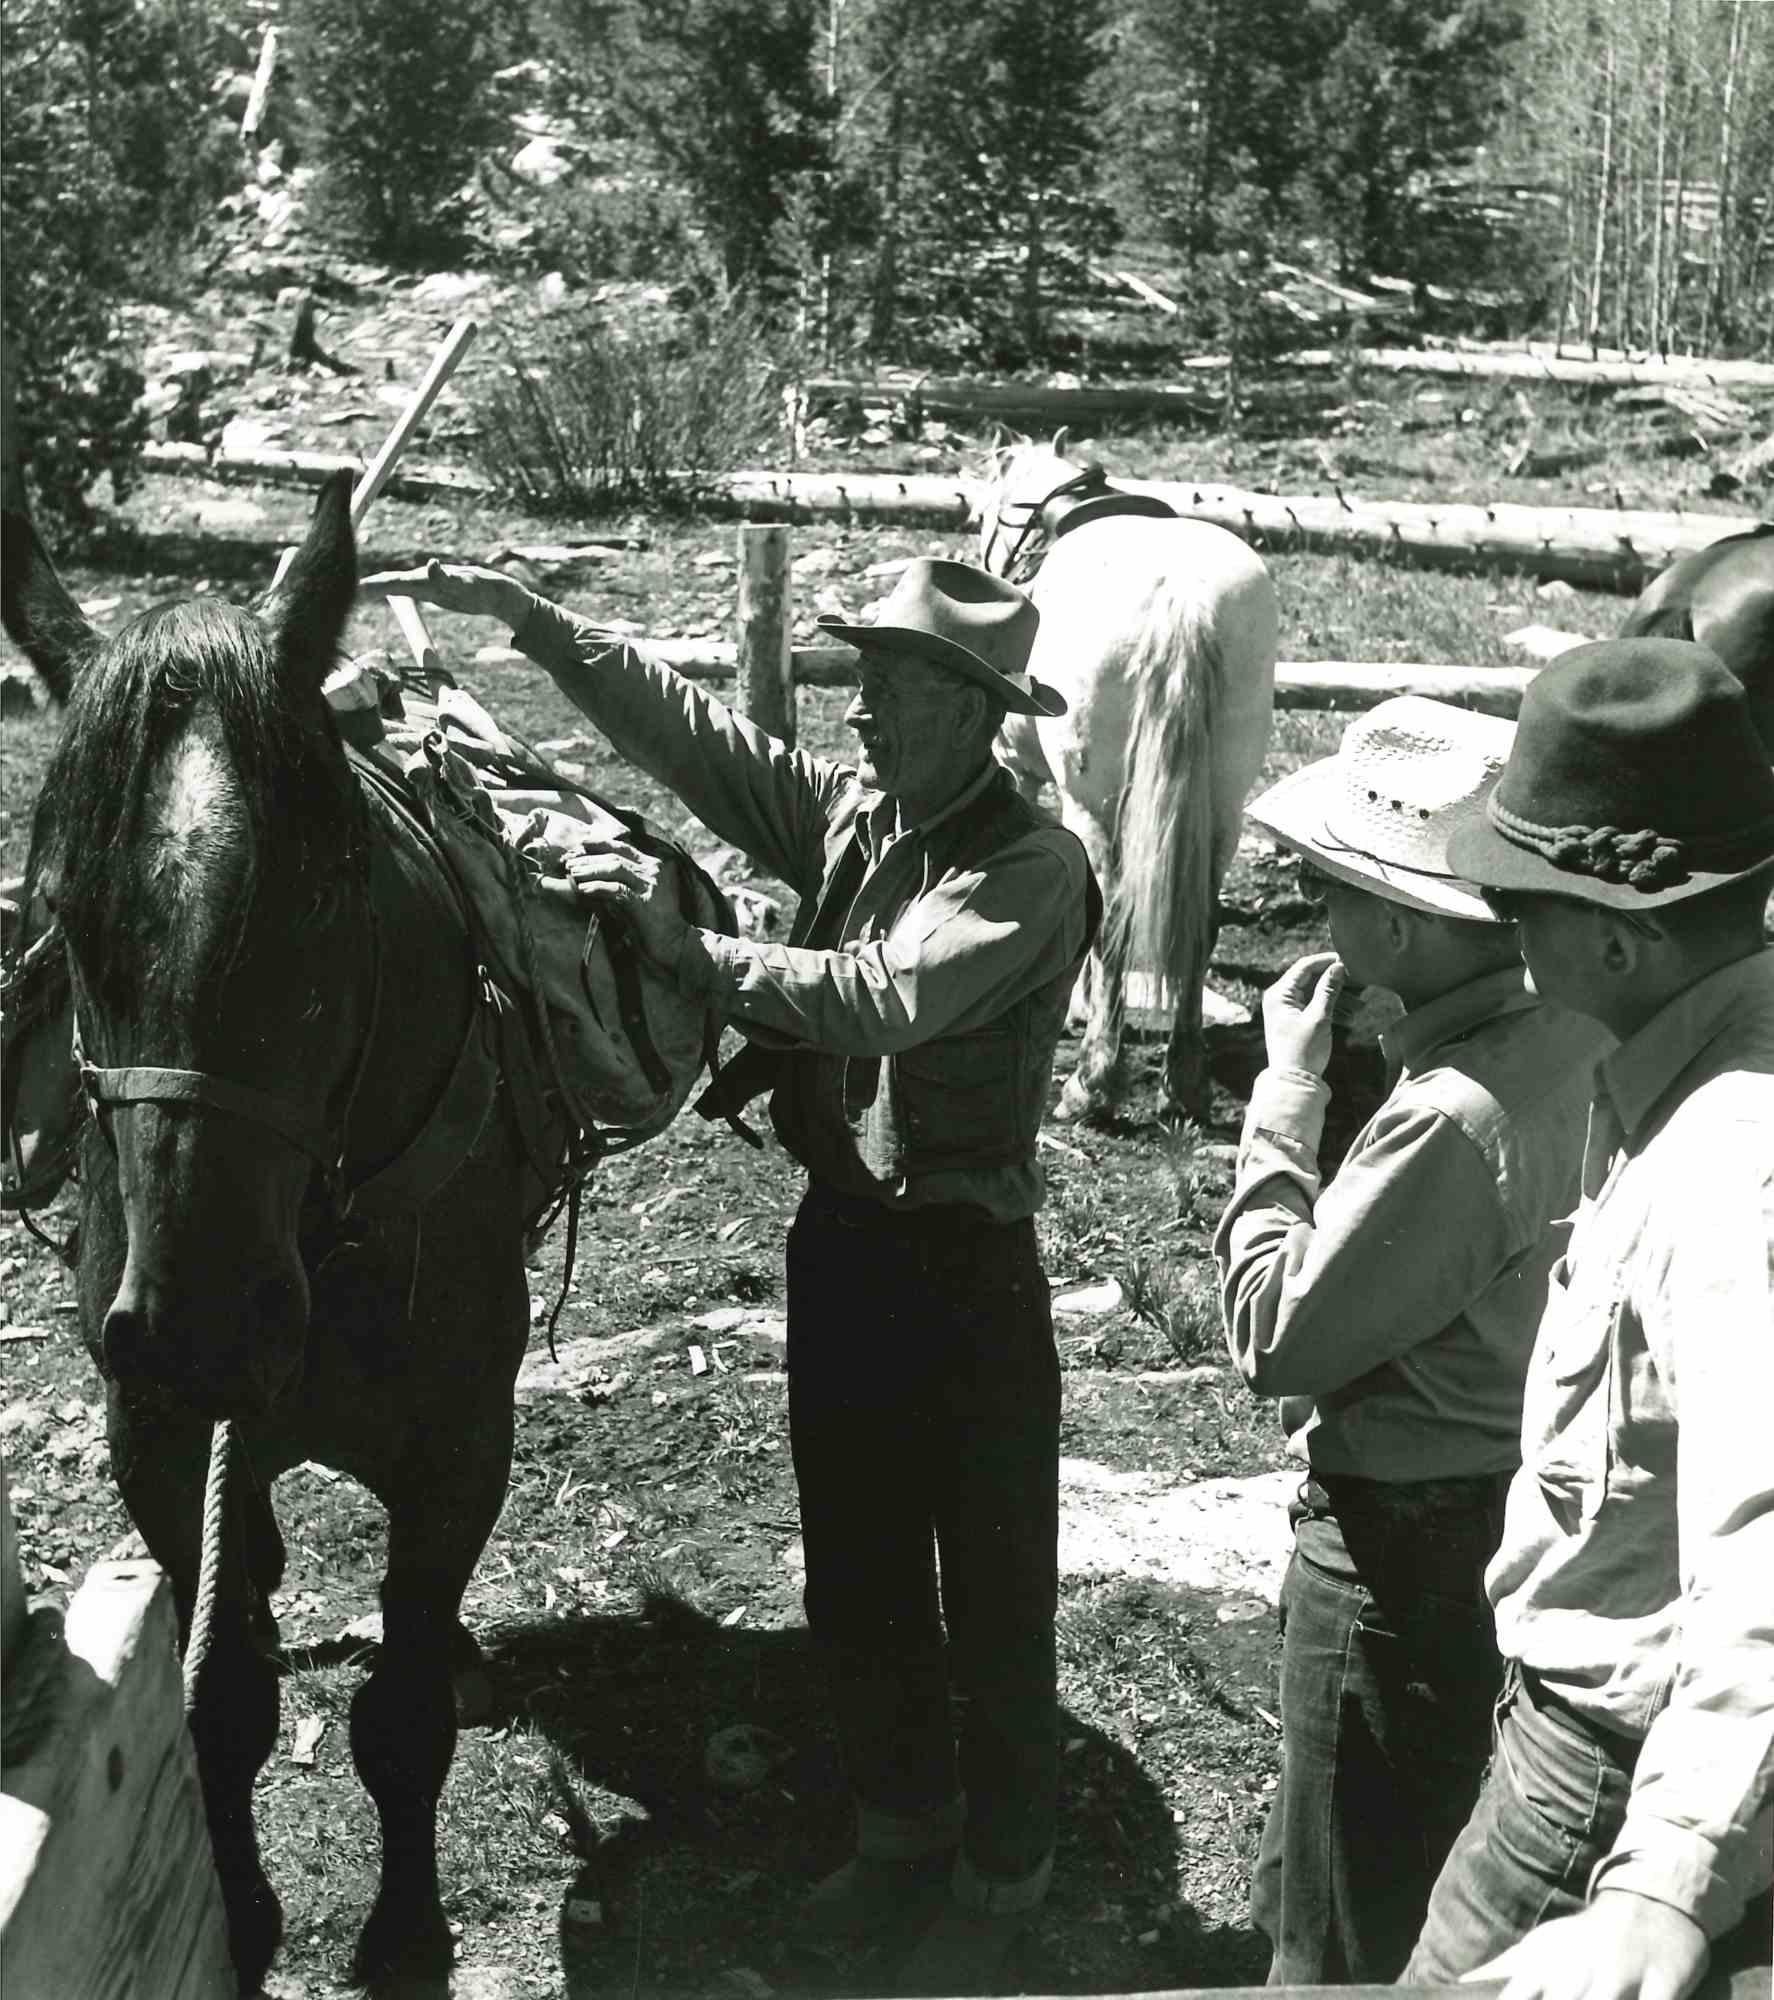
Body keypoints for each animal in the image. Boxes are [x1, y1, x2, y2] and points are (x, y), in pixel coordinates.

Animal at [3, 476, 548, 1992]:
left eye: (322, 895)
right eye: (64, 915)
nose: (201, 1326)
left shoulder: (457, 1449)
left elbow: (403, 1714)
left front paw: (406, 1934)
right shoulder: (156, 1438)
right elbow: (225, 1705)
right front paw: (242, 1921)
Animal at [984, 440, 1280, 1128]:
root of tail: (1183, 602)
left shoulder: (1022, 770)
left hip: (1092, 803)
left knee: (1114, 920)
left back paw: (1091, 1086)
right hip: (1220, 804)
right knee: (1200, 922)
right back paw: (1185, 1083)